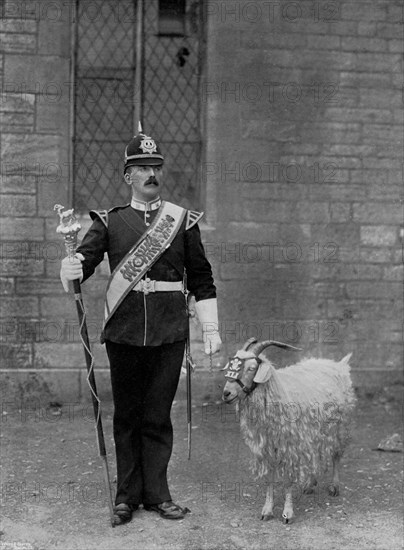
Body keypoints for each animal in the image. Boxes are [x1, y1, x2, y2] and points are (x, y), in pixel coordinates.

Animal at [221, 338, 356, 524]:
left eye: (251, 368)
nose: (226, 393)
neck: (276, 391)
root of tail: (338, 365)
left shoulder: (289, 447)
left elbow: (287, 481)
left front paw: (287, 513)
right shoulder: (267, 447)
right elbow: (269, 479)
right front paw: (267, 510)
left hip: (339, 427)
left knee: (336, 455)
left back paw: (334, 487)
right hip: (313, 431)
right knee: (314, 454)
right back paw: (309, 484)